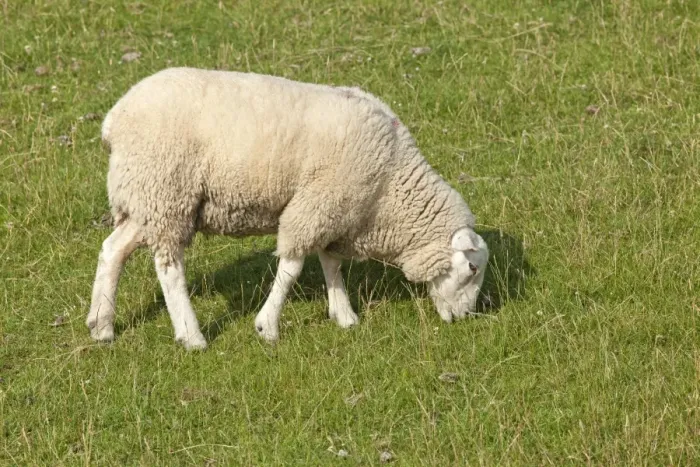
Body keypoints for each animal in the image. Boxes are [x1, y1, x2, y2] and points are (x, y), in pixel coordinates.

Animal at [87, 67, 489, 350]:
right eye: (472, 268)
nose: (465, 317)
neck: (390, 185)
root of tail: (114, 119)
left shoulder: (335, 211)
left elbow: (331, 263)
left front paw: (343, 314)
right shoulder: (317, 203)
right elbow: (293, 267)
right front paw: (267, 326)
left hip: (143, 199)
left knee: (112, 250)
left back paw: (101, 325)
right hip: (166, 192)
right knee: (168, 266)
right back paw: (192, 335)